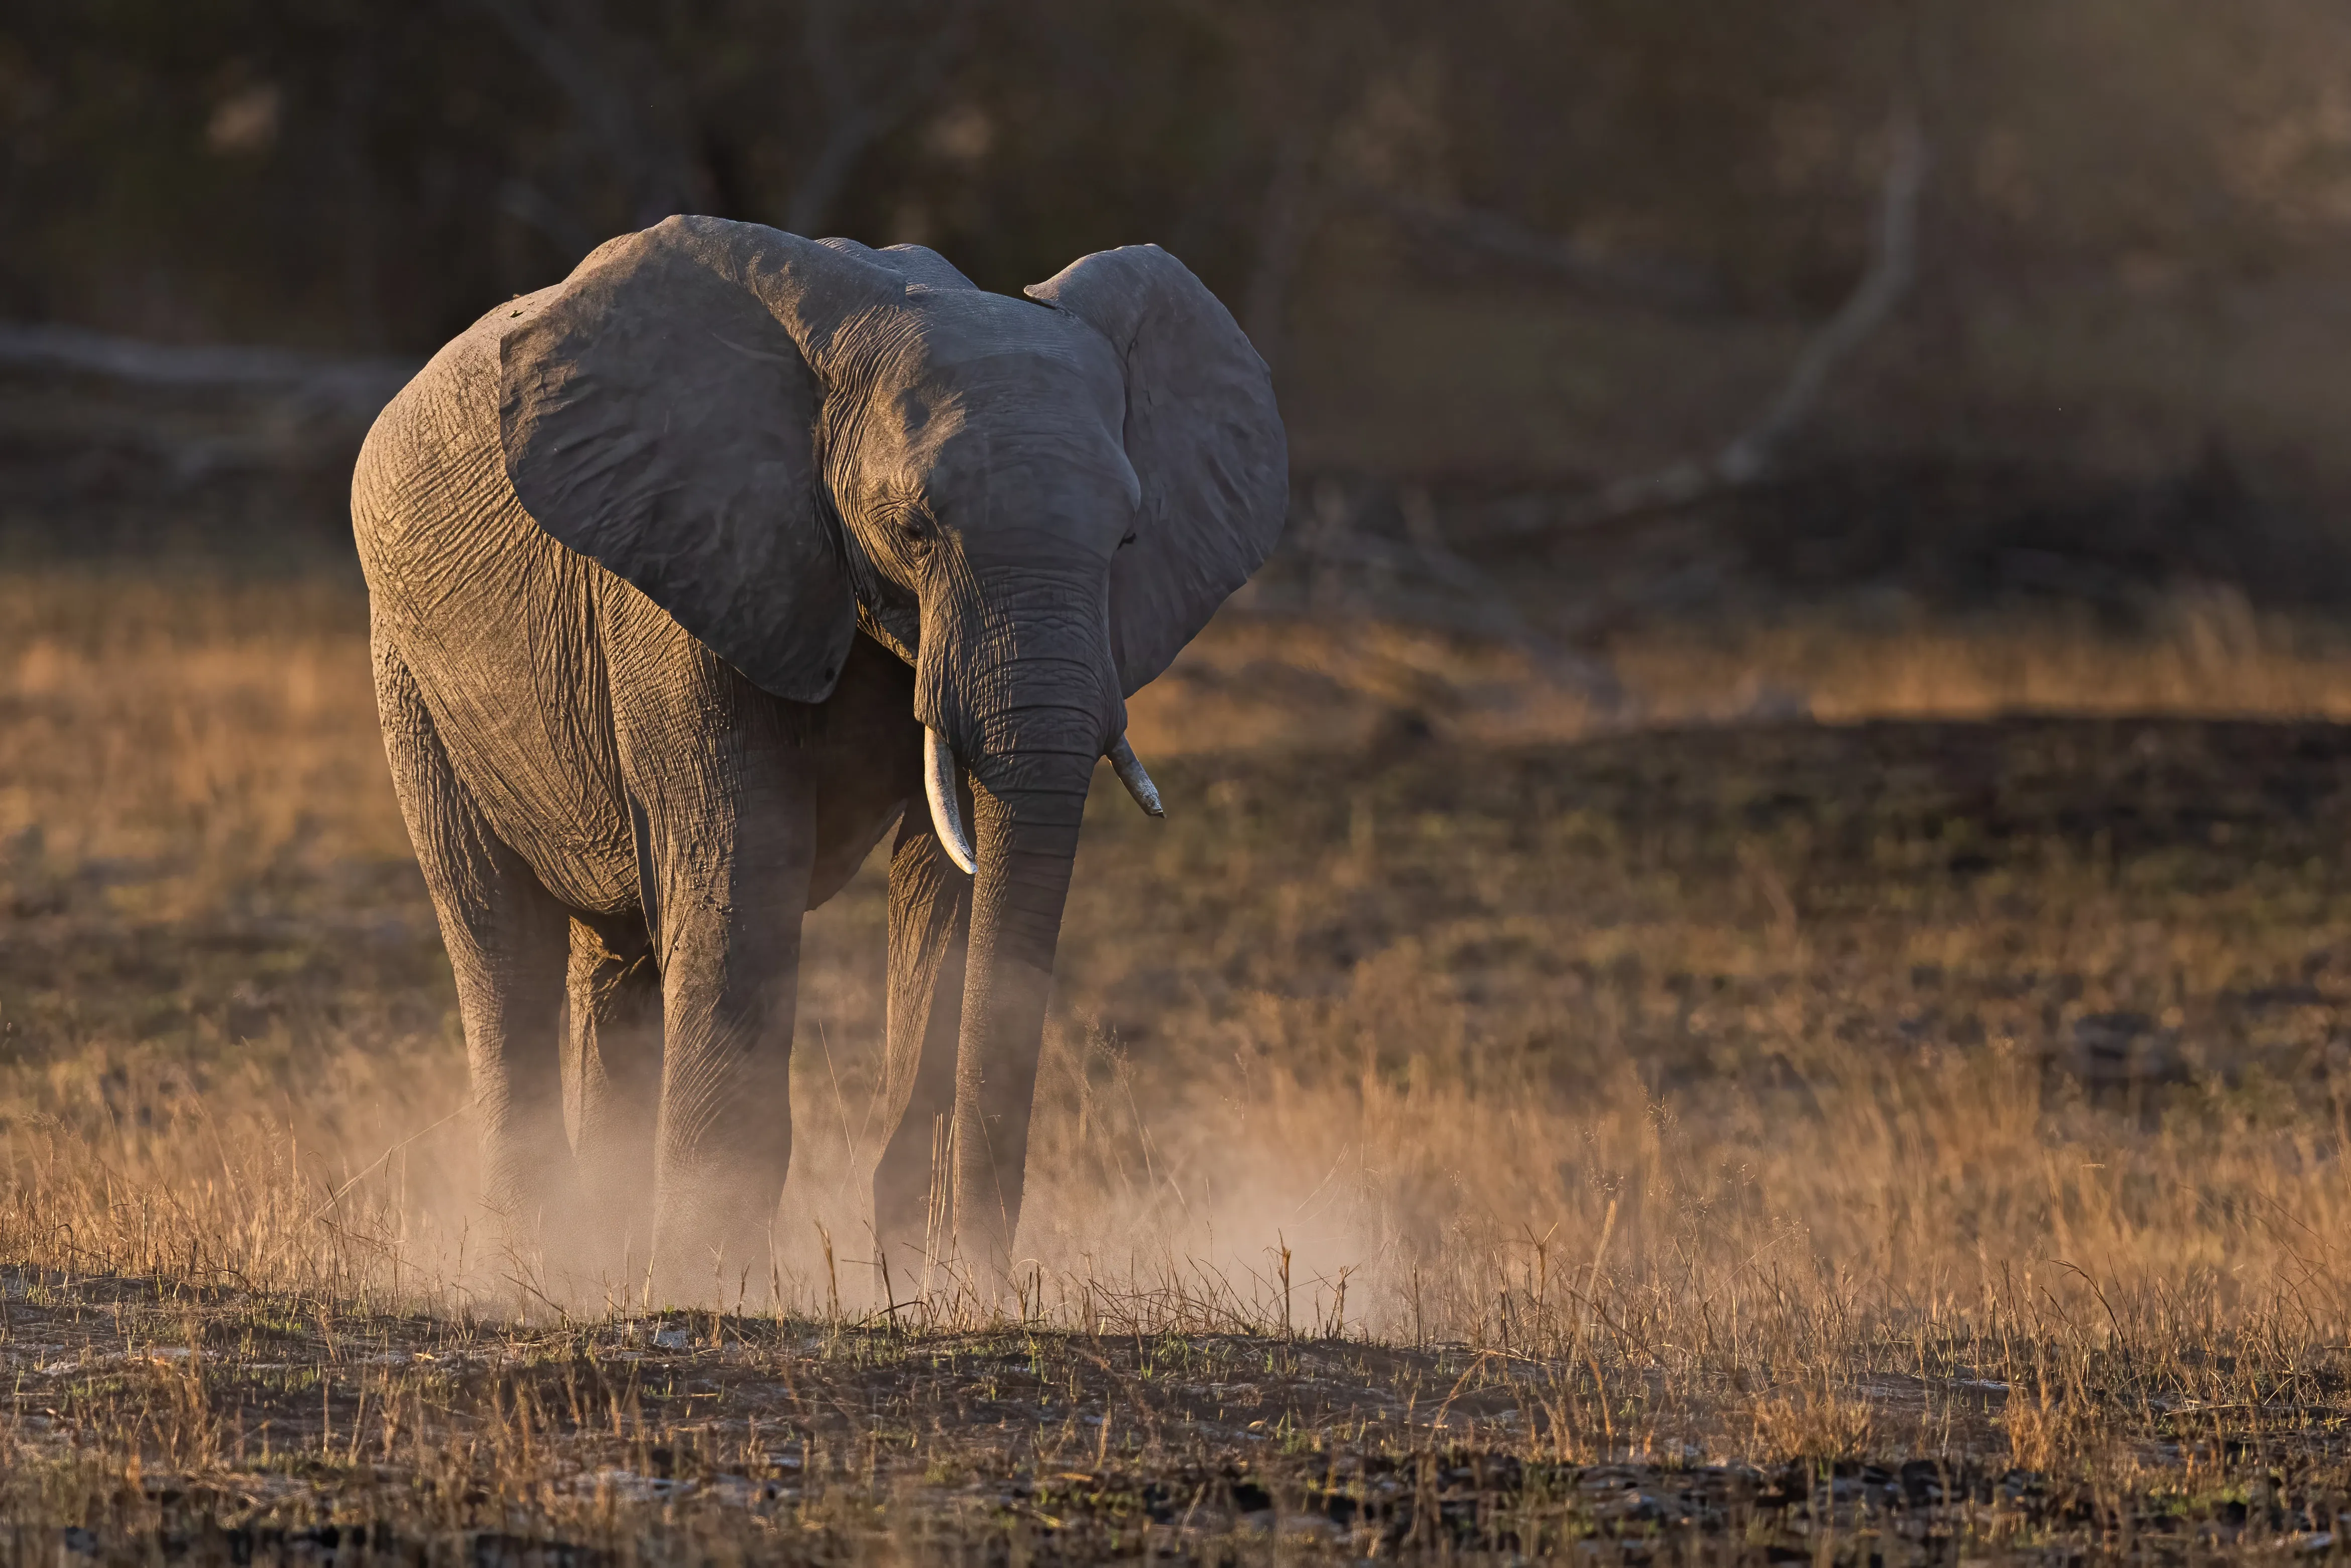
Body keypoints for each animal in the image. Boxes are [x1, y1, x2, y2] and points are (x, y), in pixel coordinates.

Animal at [351, 215, 1285, 1303]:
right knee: (498, 938)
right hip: (408, 667)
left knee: (616, 955)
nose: (985, 1287)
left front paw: (915, 1287)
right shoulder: (689, 566)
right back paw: (532, 1268)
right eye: (915, 528)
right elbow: (740, 865)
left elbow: (948, 885)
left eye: (1129, 536)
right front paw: (708, 1285)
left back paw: (596, 1257)